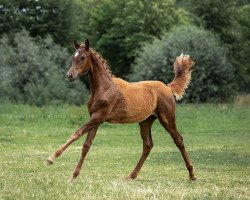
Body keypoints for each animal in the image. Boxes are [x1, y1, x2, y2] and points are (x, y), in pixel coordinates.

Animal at [46, 38, 196, 181]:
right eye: (73, 57)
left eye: (83, 57)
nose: (70, 76)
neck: (104, 88)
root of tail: (167, 87)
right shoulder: (95, 119)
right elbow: (86, 145)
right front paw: (73, 175)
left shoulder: (98, 117)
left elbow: (76, 134)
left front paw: (51, 158)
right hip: (146, 121)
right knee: (148, 145)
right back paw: (132, 175)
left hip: (167, 119)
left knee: (178, 140)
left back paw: (192, 175)